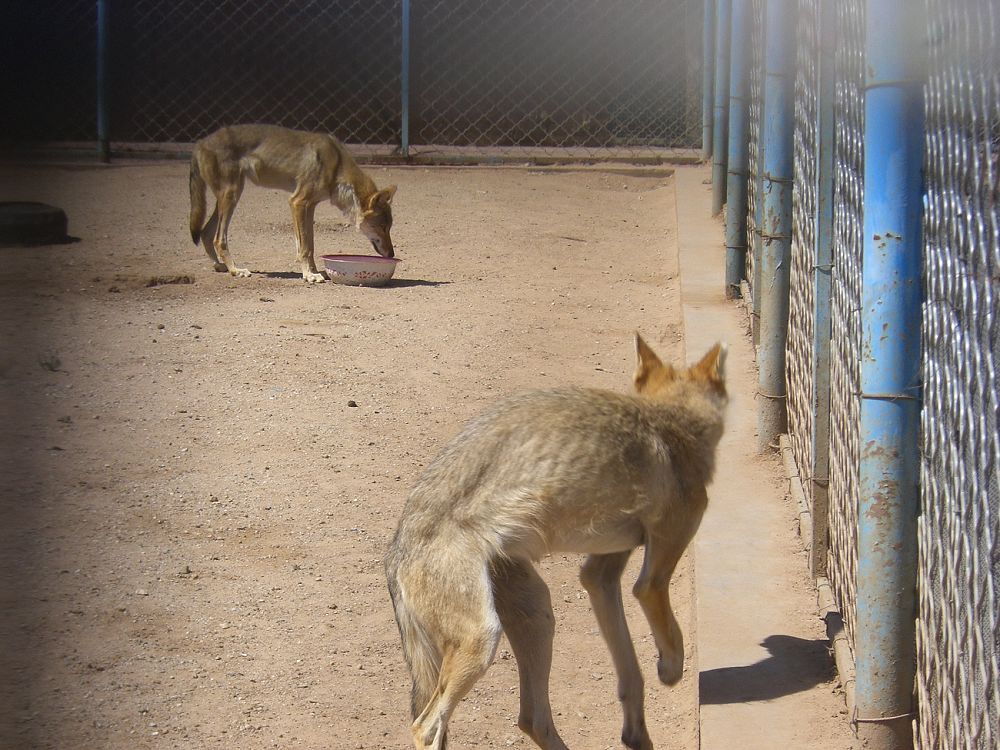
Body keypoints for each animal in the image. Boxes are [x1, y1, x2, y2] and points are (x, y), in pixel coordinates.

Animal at [188, 125, 394, 284]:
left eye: (389, 228)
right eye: (383, 227)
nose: (392, 254)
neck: (337, 165)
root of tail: (200, 143)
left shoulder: (309, 207)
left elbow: (309, 245)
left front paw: (314, 271)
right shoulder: (297, 203)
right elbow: (304, 247)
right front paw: (309, 275)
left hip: (231, 196)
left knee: (206, 232)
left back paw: (219, 266)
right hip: (232, 195)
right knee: (218, 238)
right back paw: (235, 270)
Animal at [388, 338, 728, 750]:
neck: (671, 421)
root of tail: (397, 548)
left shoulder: (599, 577)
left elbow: (631, 675)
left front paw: (636, 734)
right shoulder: (655, 572)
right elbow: (669, 639)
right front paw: (670, 668)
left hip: (538, 614)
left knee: (531, 719)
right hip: (484, 639)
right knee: (426, 726)